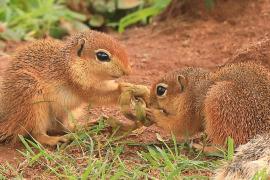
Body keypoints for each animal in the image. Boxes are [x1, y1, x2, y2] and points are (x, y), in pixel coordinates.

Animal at [0, 29, 132, 146]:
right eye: (102, 56)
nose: (127, 71)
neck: (70, 63)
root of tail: (9, 120)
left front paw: (130, 86)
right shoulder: (79, 84)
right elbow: (98, 96)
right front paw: (124, 90)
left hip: (65, 112)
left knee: (64, 127)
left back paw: (86, 126)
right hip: (32, 102)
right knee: (37, 134)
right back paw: (55, 140)